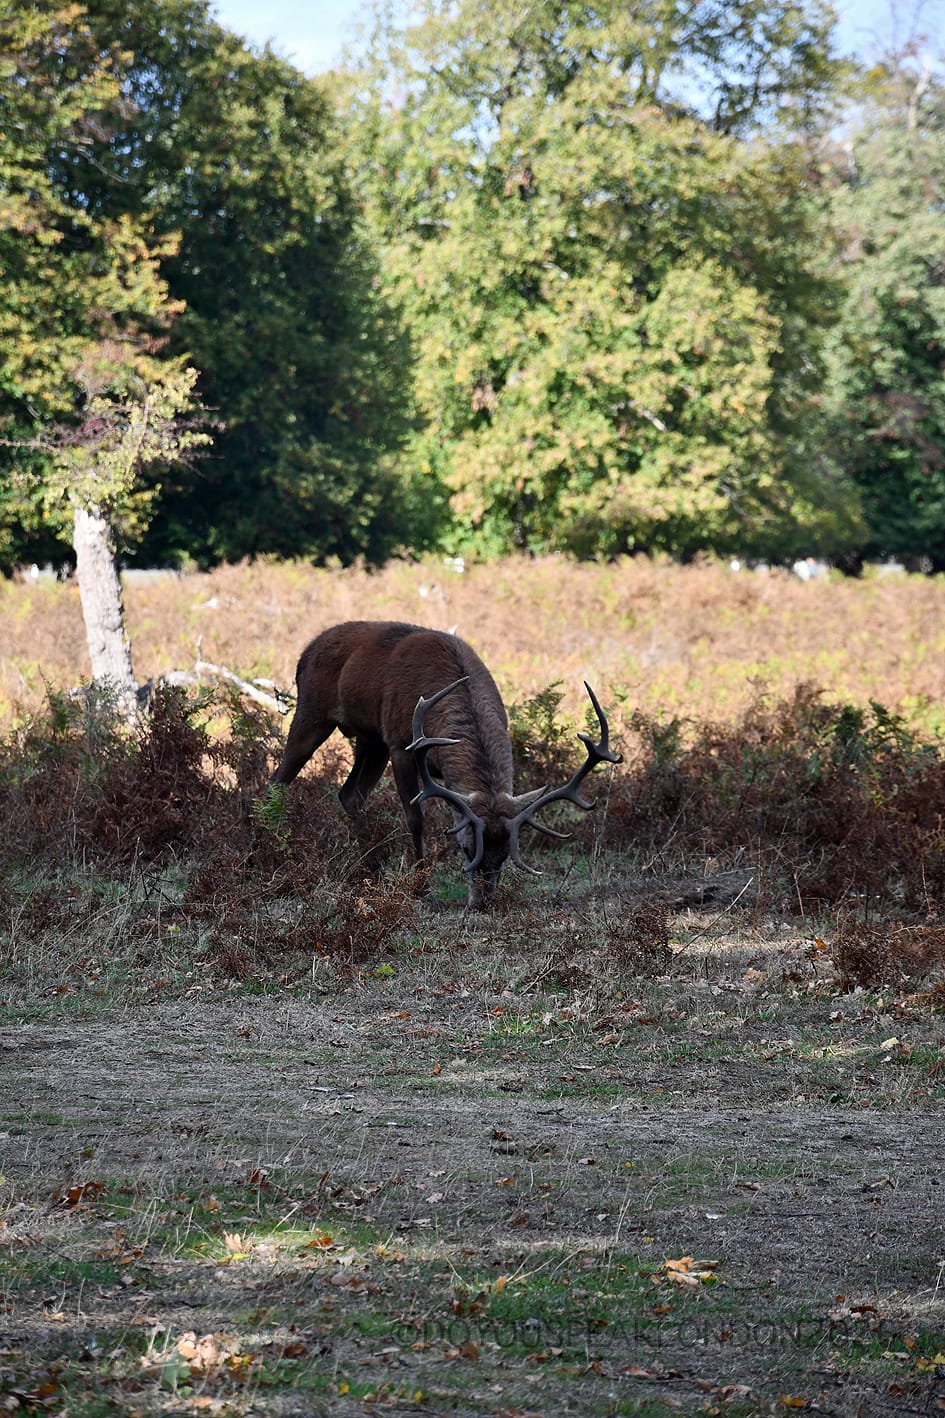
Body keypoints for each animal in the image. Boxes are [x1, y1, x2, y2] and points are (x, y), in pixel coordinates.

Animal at [268, 620, 621, 907]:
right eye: (465, 849)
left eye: (506, 853)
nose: (482, 900)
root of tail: (305, 651)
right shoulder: (401, 744)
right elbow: (415, 817)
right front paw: (421, 885)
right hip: (313, 711)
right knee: (277, 781)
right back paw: (271, 855)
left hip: (371, 740)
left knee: (350, 794)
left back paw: (371, 867)